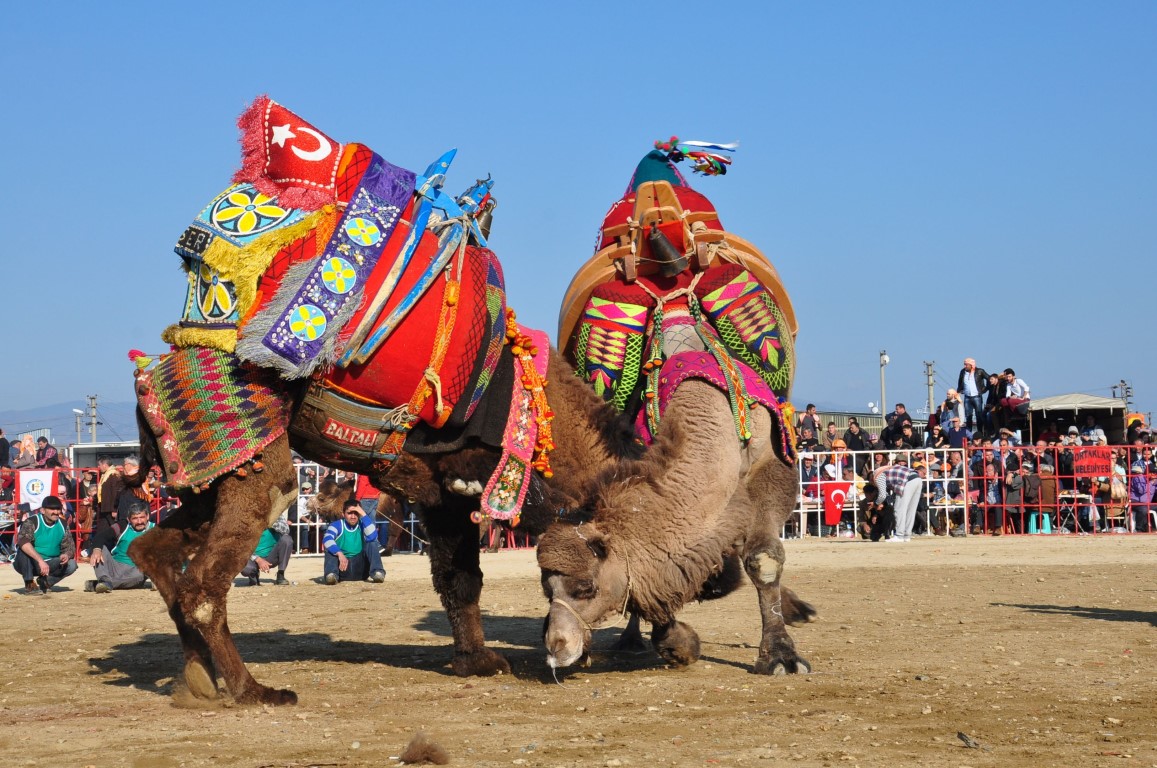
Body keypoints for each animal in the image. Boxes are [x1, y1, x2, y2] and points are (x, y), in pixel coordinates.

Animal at [539, 142, 819, 670]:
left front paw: (780, 653)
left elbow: (763, 558)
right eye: (547, 589)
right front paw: (673, 637)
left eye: (585, 588)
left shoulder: (772, 462)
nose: (558, 647)